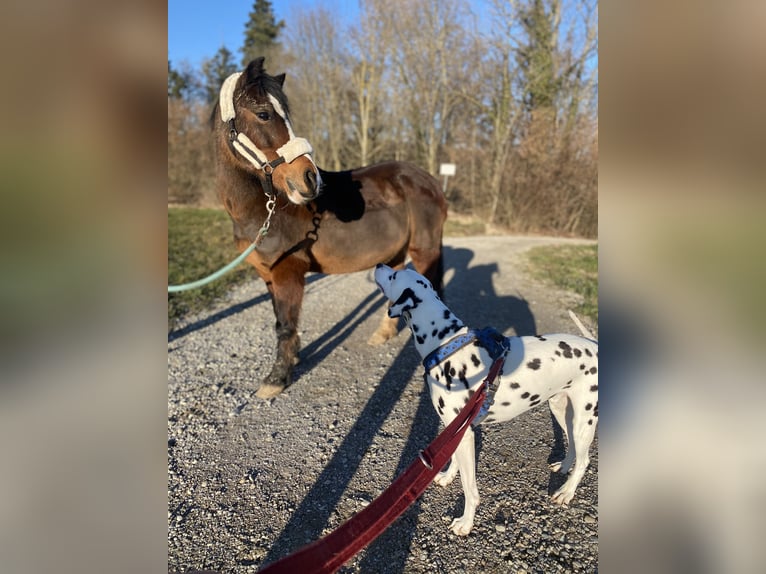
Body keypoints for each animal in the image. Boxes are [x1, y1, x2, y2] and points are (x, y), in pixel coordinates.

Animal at [213, 59, 448, 400]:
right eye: (263, 114)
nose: (310, 179)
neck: (265, 211)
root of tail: (429, 181)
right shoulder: (267, 274)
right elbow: (280, 320)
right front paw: (294, 357)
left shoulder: (287, 272)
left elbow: (285, 324)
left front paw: (277, 378)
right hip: (395, 253)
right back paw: (382, 334)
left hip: (425, 249)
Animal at [374, 264, 600, 536]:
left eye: (394, 275)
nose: (379, 266)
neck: (446, 344)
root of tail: (594, 345)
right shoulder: (456, 430)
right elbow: (454, 462)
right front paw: (447, 477)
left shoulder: (465, 434)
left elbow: (469, 488)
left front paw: (465, 522)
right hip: (562, 410)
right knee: (574, 447)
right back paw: (565, 468)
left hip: (584, 420)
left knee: (585, 459)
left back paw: (566, 492)